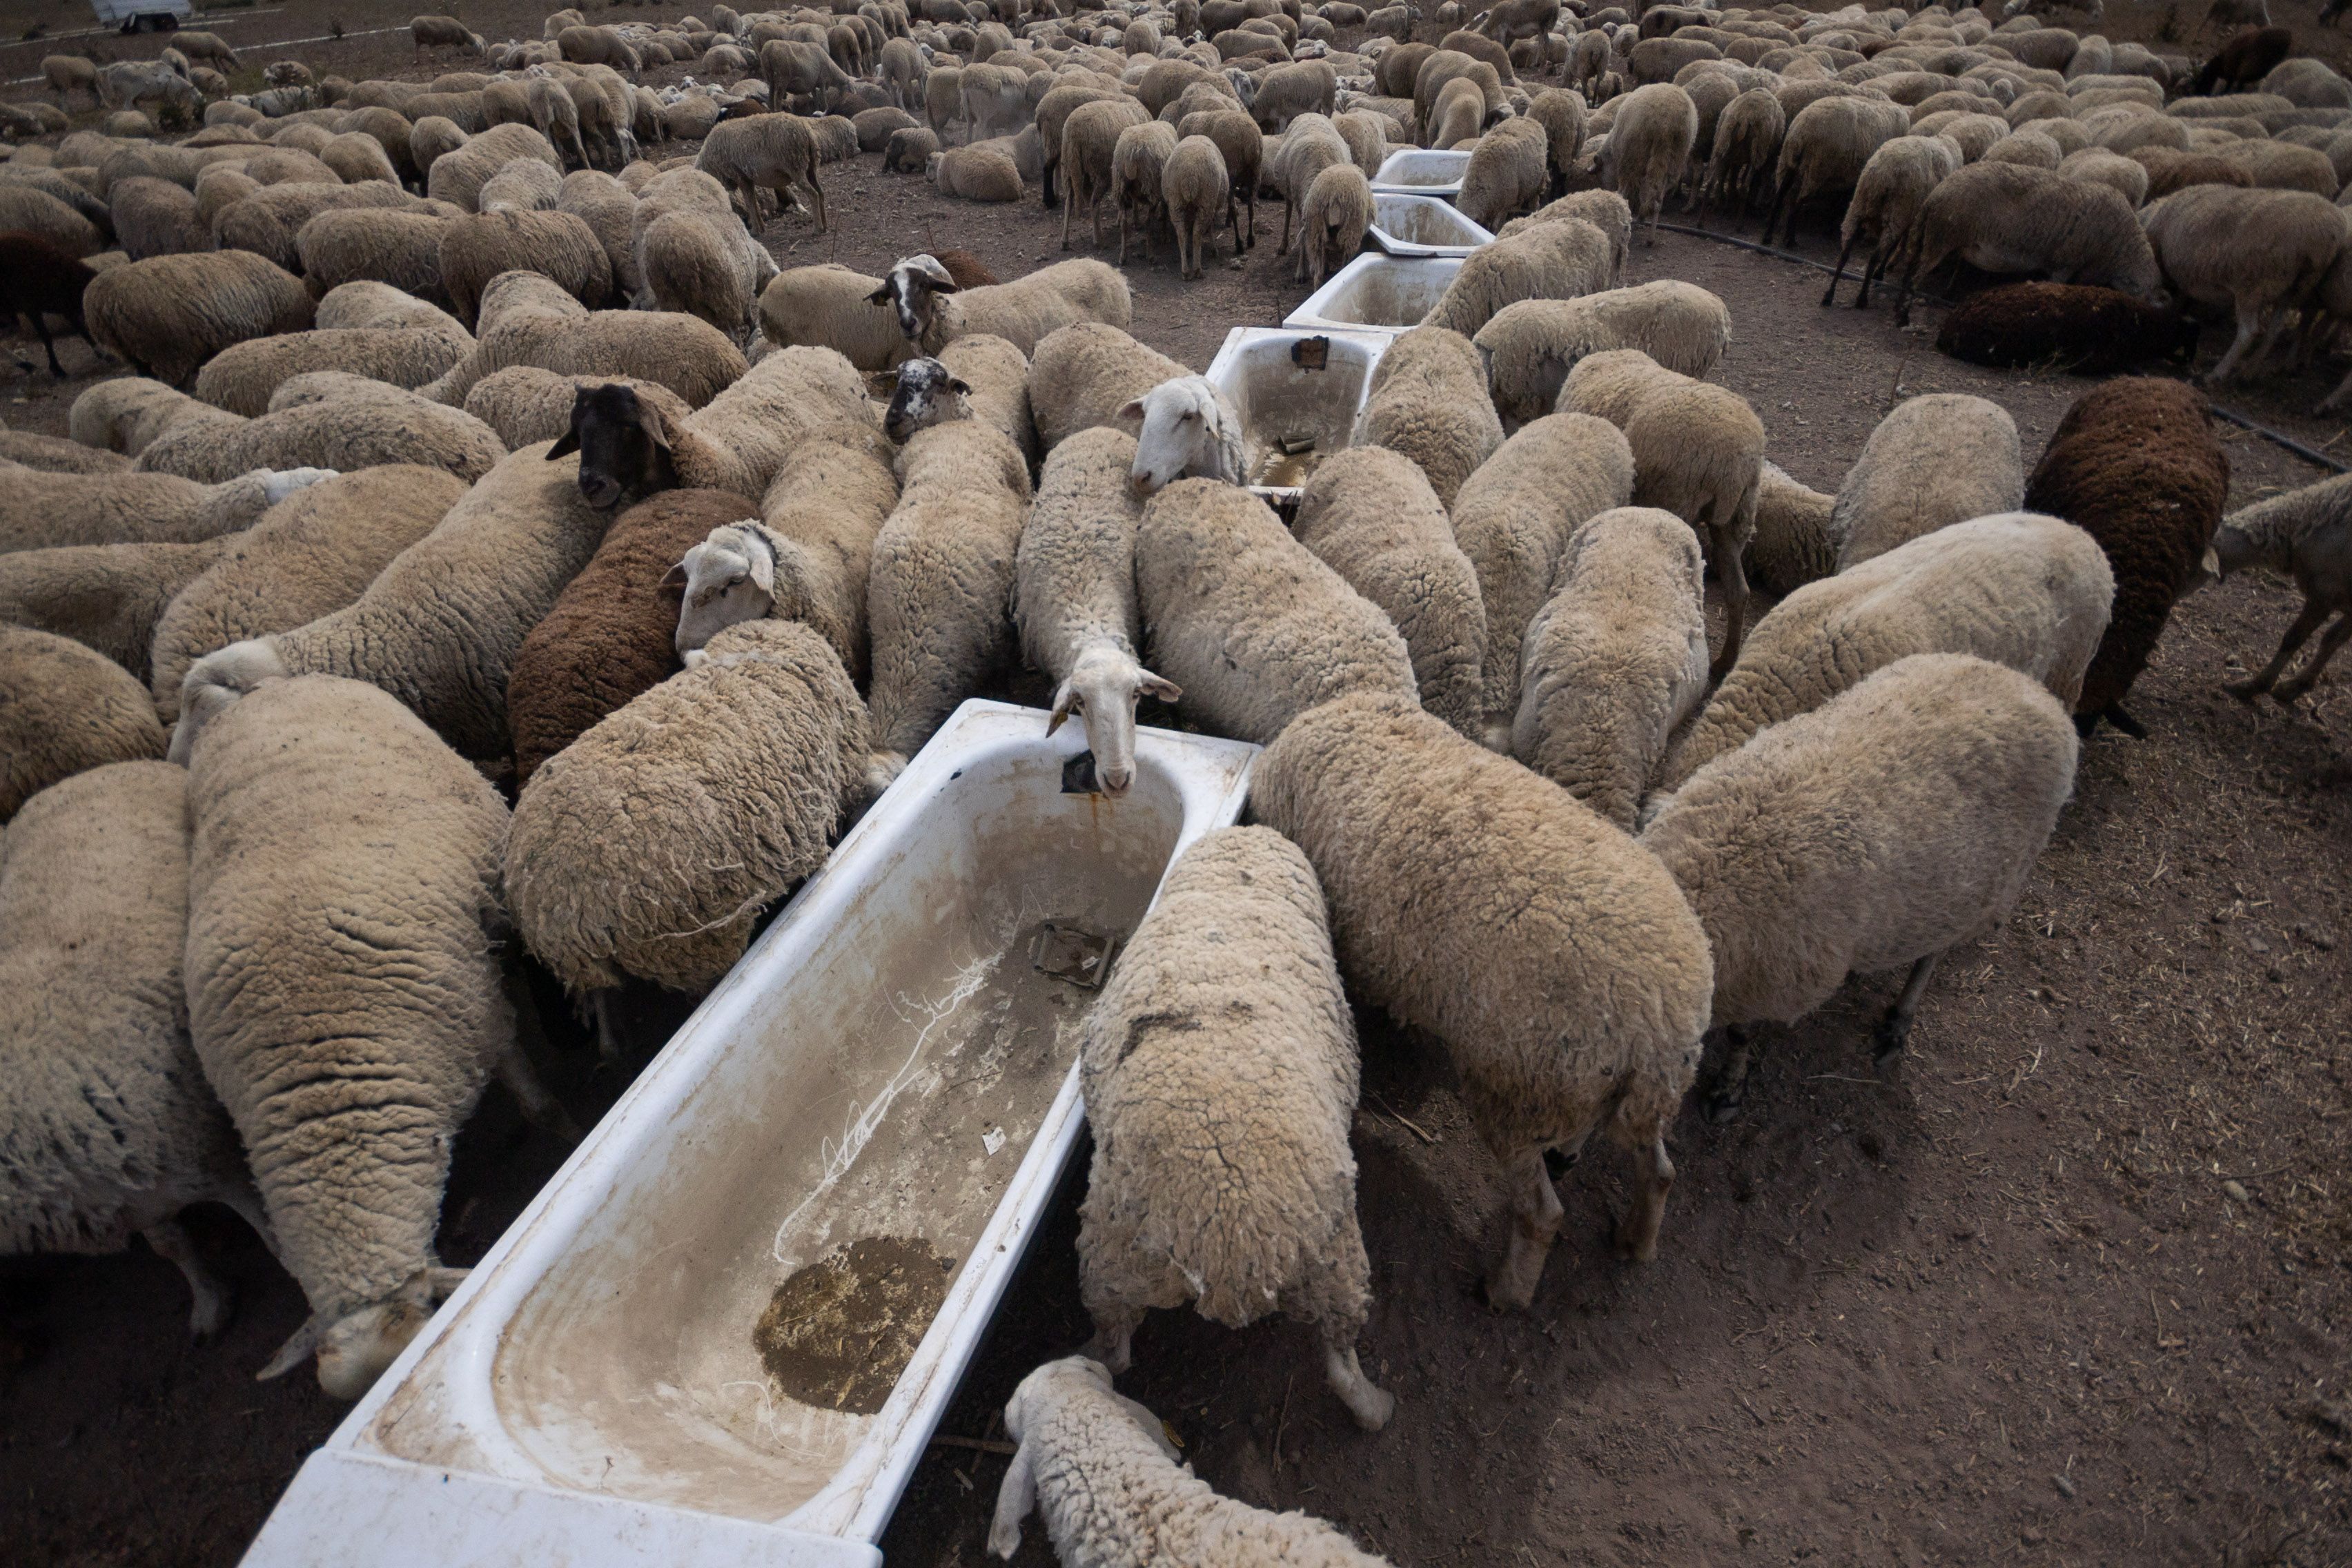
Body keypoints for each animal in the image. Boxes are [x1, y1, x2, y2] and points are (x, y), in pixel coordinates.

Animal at [1076, 826, 1392, 1431]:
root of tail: (1228, 1237)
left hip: (1116, 1260)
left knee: (1114, 1349)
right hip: (1334, 1261)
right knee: (1342, 1362)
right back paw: (1378, 1410)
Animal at [1252, 690, 1711, 1305]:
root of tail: (1658, 1027)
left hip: (1520, 1091)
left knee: (1542, 1215)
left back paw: (1507, 1290)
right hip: (1620, 1095)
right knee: (1660, 1171)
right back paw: (1634, 1238)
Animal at [1641, 653, 2078, 1121]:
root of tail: (2032, 689)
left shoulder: (1769, 985)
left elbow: (1741, 1036)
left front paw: (1728, 1089)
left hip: (1986, 892)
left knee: (1933, 955)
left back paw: (1898, 1022)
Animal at [1891, 162, 2160, 326]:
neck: (2120, 246)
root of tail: (1935, 196)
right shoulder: (2065, 263)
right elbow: (2056, 288)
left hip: (1935, 237)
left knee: (1910, 270)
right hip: (1943, 238)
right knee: (1913, 277)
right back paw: (1902, 317)